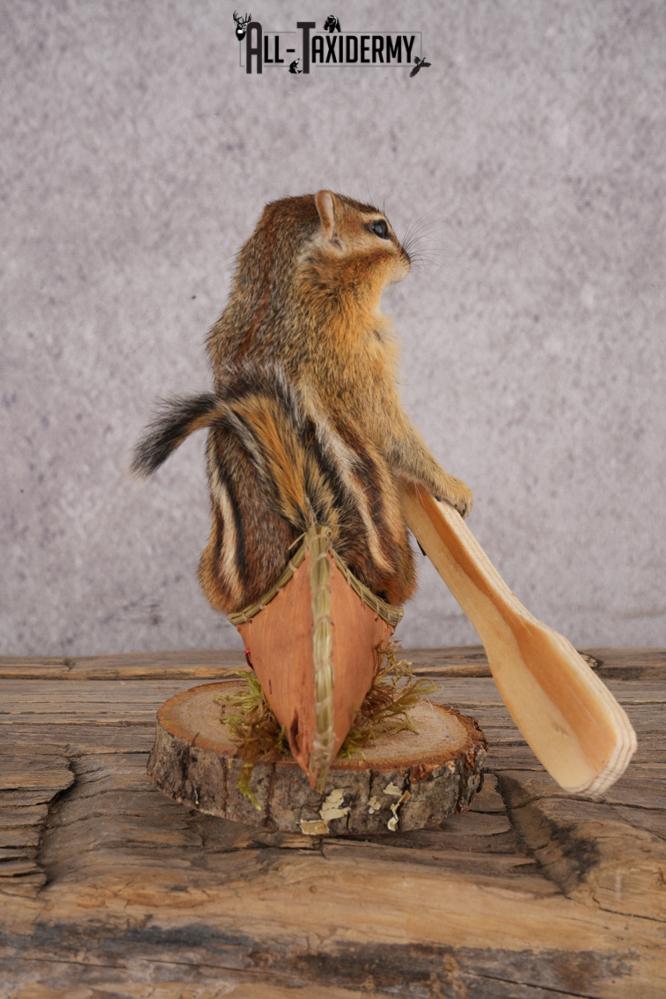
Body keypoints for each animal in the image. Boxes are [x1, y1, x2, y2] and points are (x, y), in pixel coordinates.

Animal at [132, 190, 472, 613]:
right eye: (380, 228)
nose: (408, 258)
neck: (281, 287)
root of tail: (311, 524)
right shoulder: (361, 363)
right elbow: (392, 431)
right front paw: (451, 487)